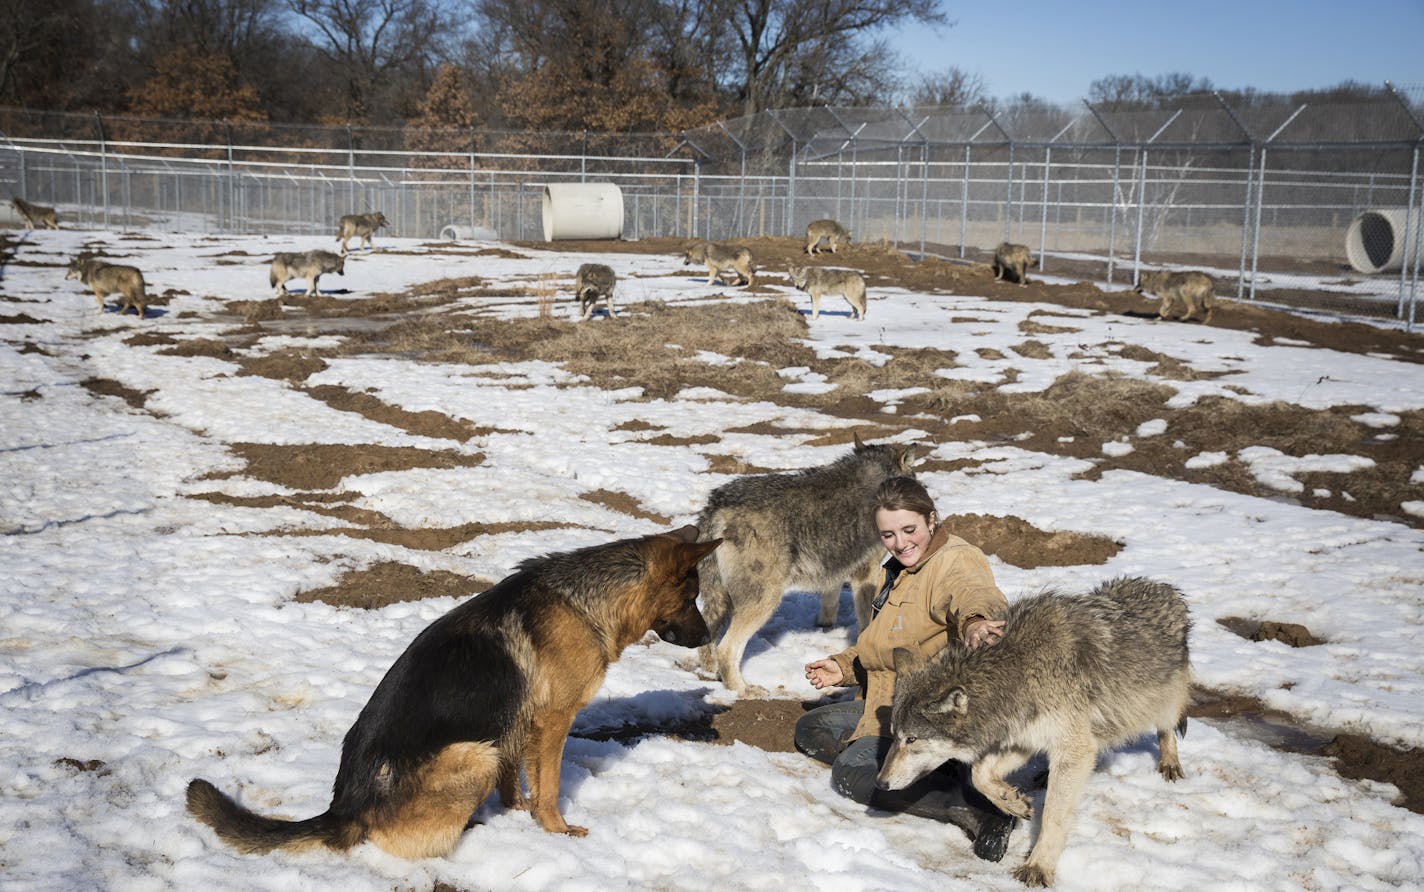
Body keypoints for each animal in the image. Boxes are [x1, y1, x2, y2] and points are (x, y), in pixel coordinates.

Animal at [692, 433, 917, 692]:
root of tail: (716, 505)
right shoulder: (866, 571)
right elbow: (865, 620)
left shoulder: (834, 565)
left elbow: (830, 600)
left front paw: (825, 624)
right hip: (765, 600)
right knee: (726, 649)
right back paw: (743, 690)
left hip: (721, 598)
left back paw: (711, 672)